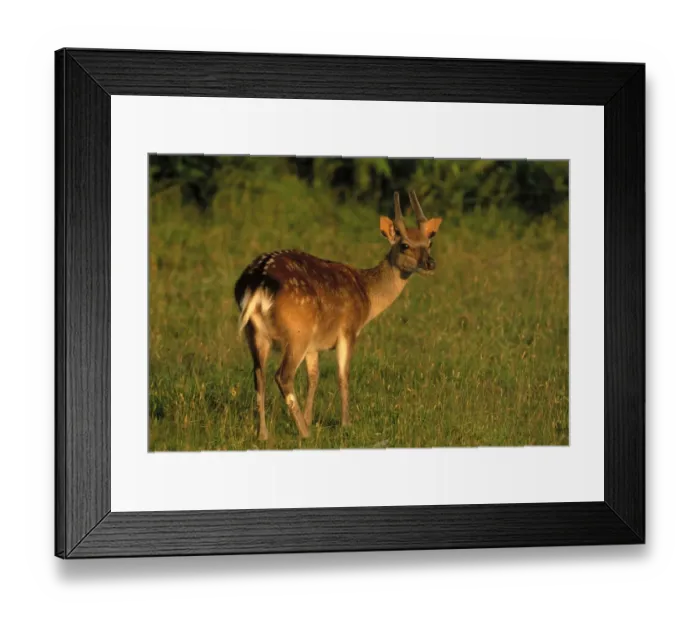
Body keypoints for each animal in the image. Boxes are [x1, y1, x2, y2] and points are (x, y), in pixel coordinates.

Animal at [234, 190, 442, 441]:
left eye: (429, 242)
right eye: (405, 245)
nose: (430, 263)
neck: (367, 296)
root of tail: (258, 281)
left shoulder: (314, 344)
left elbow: (314, 377)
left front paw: (309, 418)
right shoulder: (348, 330)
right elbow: (343, 376)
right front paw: (345, 424)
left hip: (256, 333)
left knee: (259, 375)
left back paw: (264, 434)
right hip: (297, 331)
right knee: (282, 376)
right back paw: (304, 433)